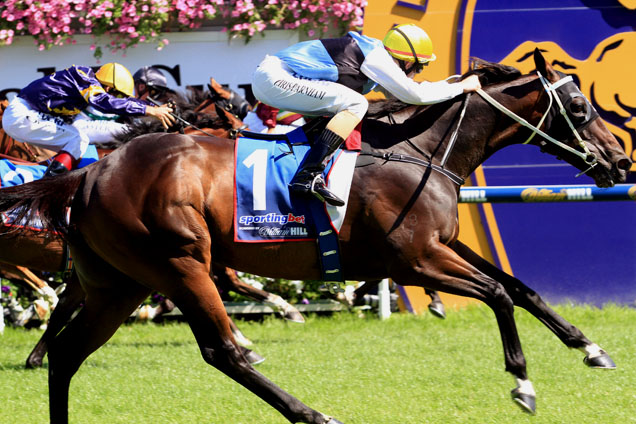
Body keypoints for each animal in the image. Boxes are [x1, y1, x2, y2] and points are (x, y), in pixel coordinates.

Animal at [0, 49, 628, 420]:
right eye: (578, 107)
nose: (620, 161)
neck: (419, 149)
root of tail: (91, 173)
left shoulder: (439, 244)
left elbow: (520, 288)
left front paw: (591, 348)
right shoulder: (412, 260)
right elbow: (498, 295)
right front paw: (522, 384)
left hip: (118, 283)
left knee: (68, 352)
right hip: (179, 263)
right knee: (223, 351)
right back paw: (311, 412)